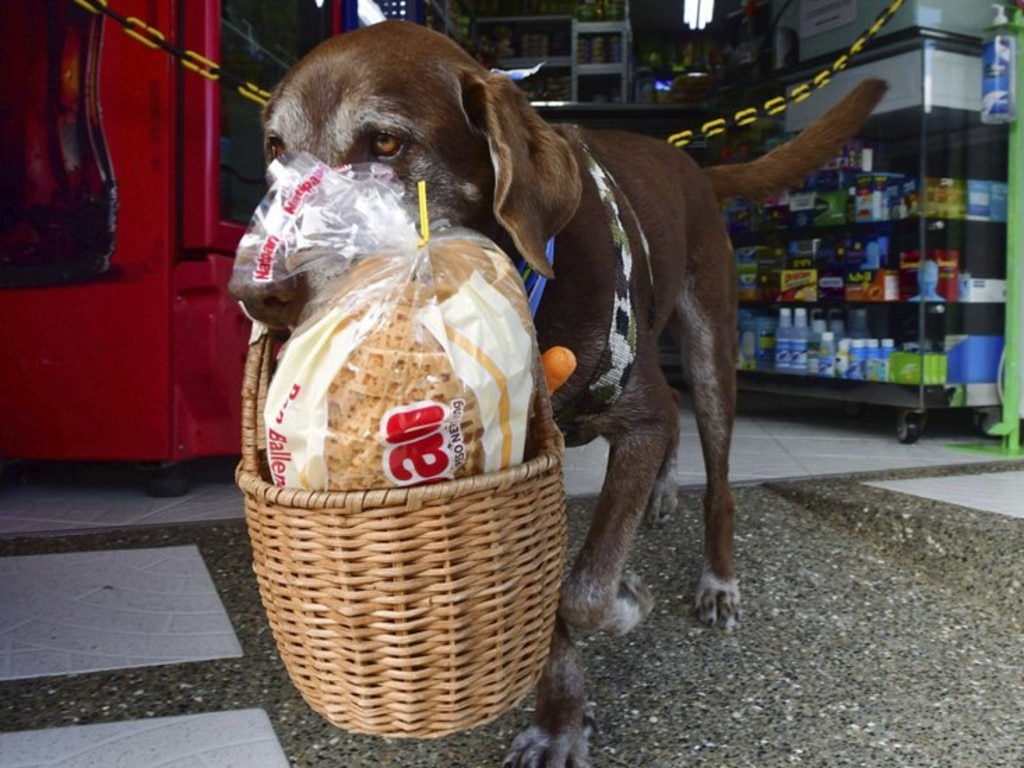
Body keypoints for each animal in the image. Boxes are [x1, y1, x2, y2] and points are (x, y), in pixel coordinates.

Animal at [228, 19, 884, 768]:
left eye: (386, 143)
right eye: (275, 149)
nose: (255, 293)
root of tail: (689, 160)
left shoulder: (640, 418)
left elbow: (585, 589)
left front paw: (626, 602)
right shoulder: (519, 467)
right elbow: (547, 605)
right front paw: (562, 721)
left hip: (711, 344)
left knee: (716, 471)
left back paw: (717, 578)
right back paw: (661, 496)